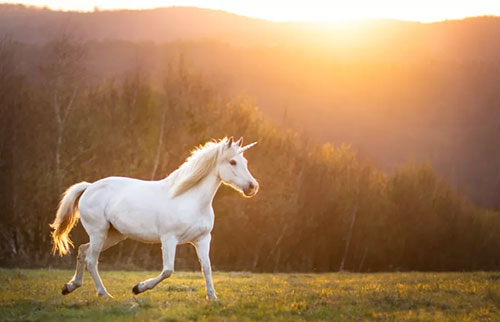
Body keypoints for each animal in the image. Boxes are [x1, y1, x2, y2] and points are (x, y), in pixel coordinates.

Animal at [50, 136, 260, 300]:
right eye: (232, 162)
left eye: (245, 162)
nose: (253, 187)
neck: (188, 199)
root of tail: (89, 187)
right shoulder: (169, 239)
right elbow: (168, 270)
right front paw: (138, 288)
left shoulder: (202, 239)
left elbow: (206, 268)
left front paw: (212, 297)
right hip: (98, 232)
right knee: (91, 259)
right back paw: (104, 294)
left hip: (113, 235)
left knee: (83, 251)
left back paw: (69, 287)